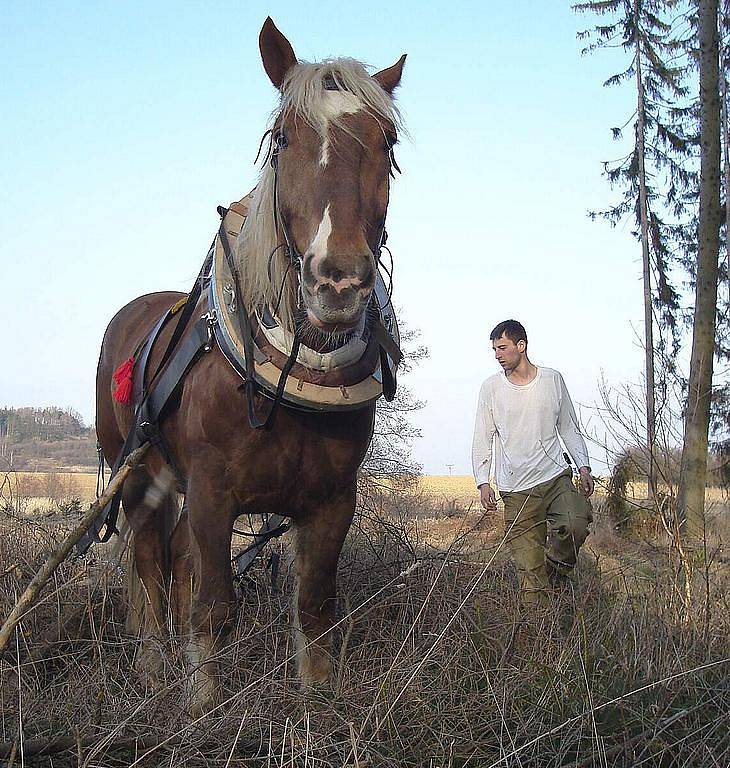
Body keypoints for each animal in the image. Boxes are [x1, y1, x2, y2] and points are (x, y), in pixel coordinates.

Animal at [93, 18, 404, 712]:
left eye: (388, 139)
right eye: (283, 136)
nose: (337, 283)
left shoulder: (331, 502)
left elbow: (313, 608)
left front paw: (315, 702)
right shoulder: (212, 493)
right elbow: (213, 608)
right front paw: (201, 707)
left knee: (176, 566)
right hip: (138, 480)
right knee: (151, 569)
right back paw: (154, 668)